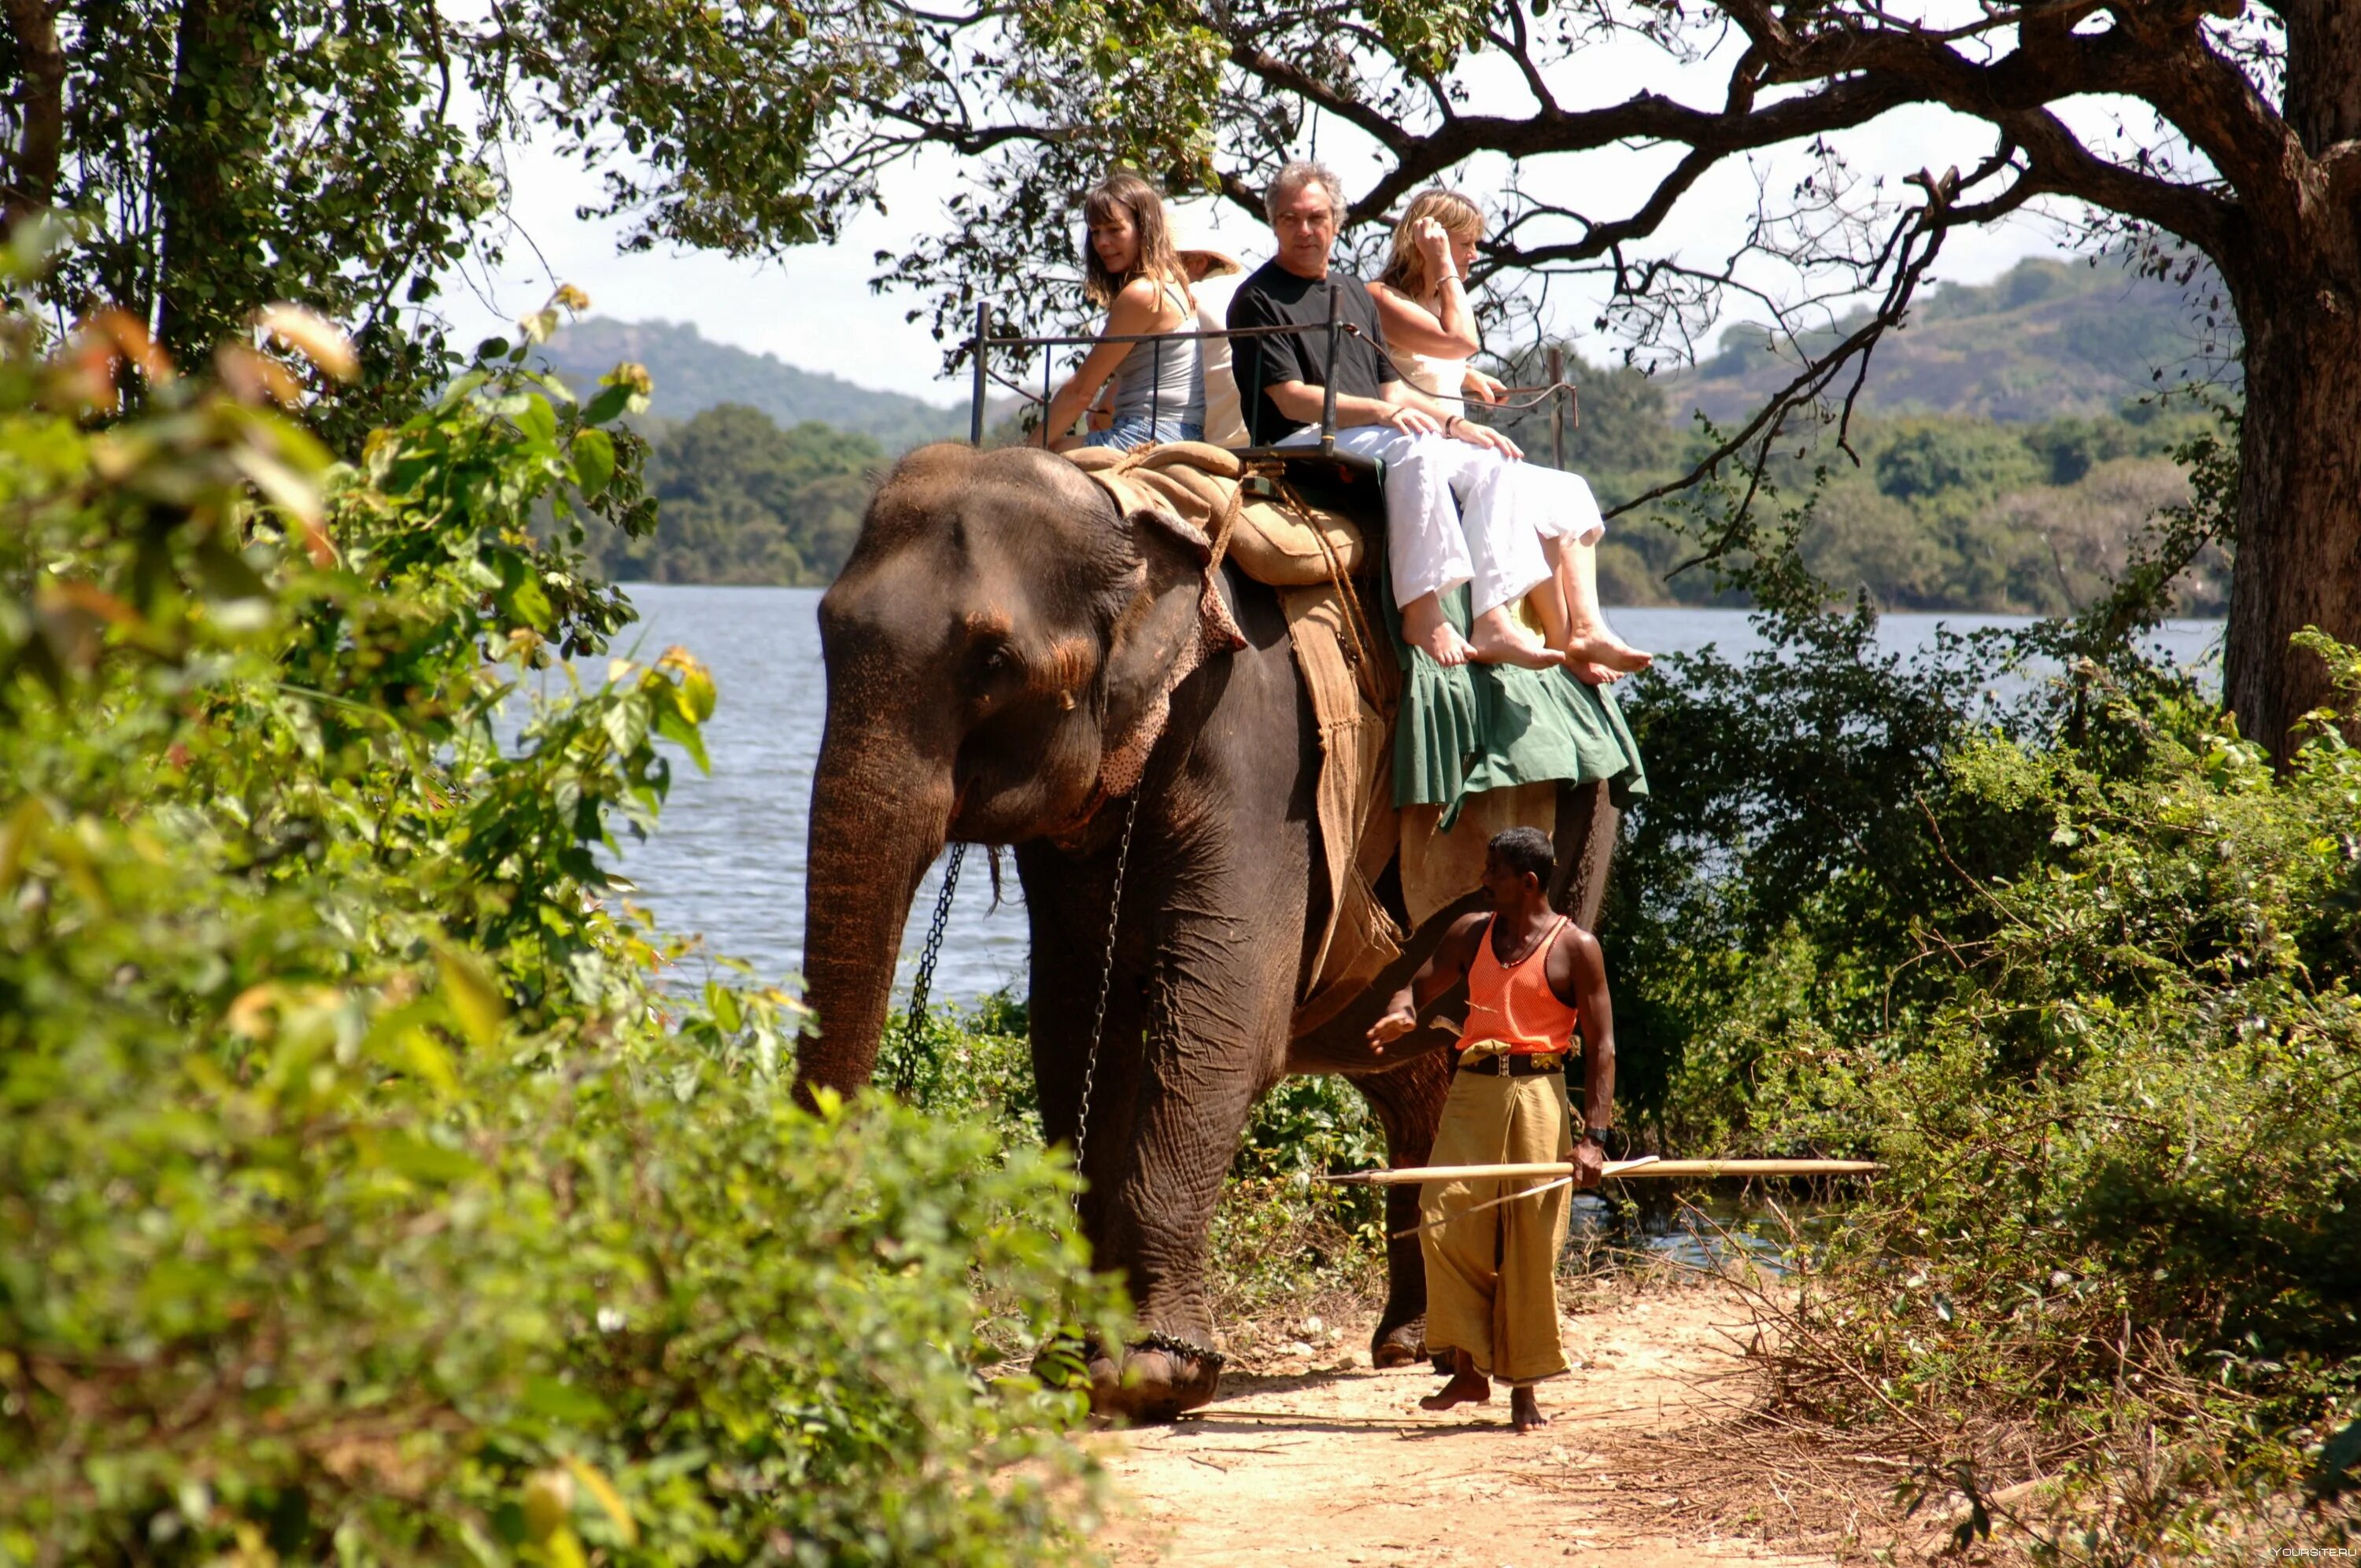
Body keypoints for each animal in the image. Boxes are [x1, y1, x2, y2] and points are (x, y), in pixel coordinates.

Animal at [798, 441, 1624, 1416]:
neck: (1135, 520)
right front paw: (1077, 1363)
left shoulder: (1260, 748)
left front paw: (1156, 1375)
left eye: (994, 659)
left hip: (1586, 829)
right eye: (825, 631)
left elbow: (1218, 1031)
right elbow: (1077, 1030)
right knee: (1411, 1059)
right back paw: (1412, 1344)